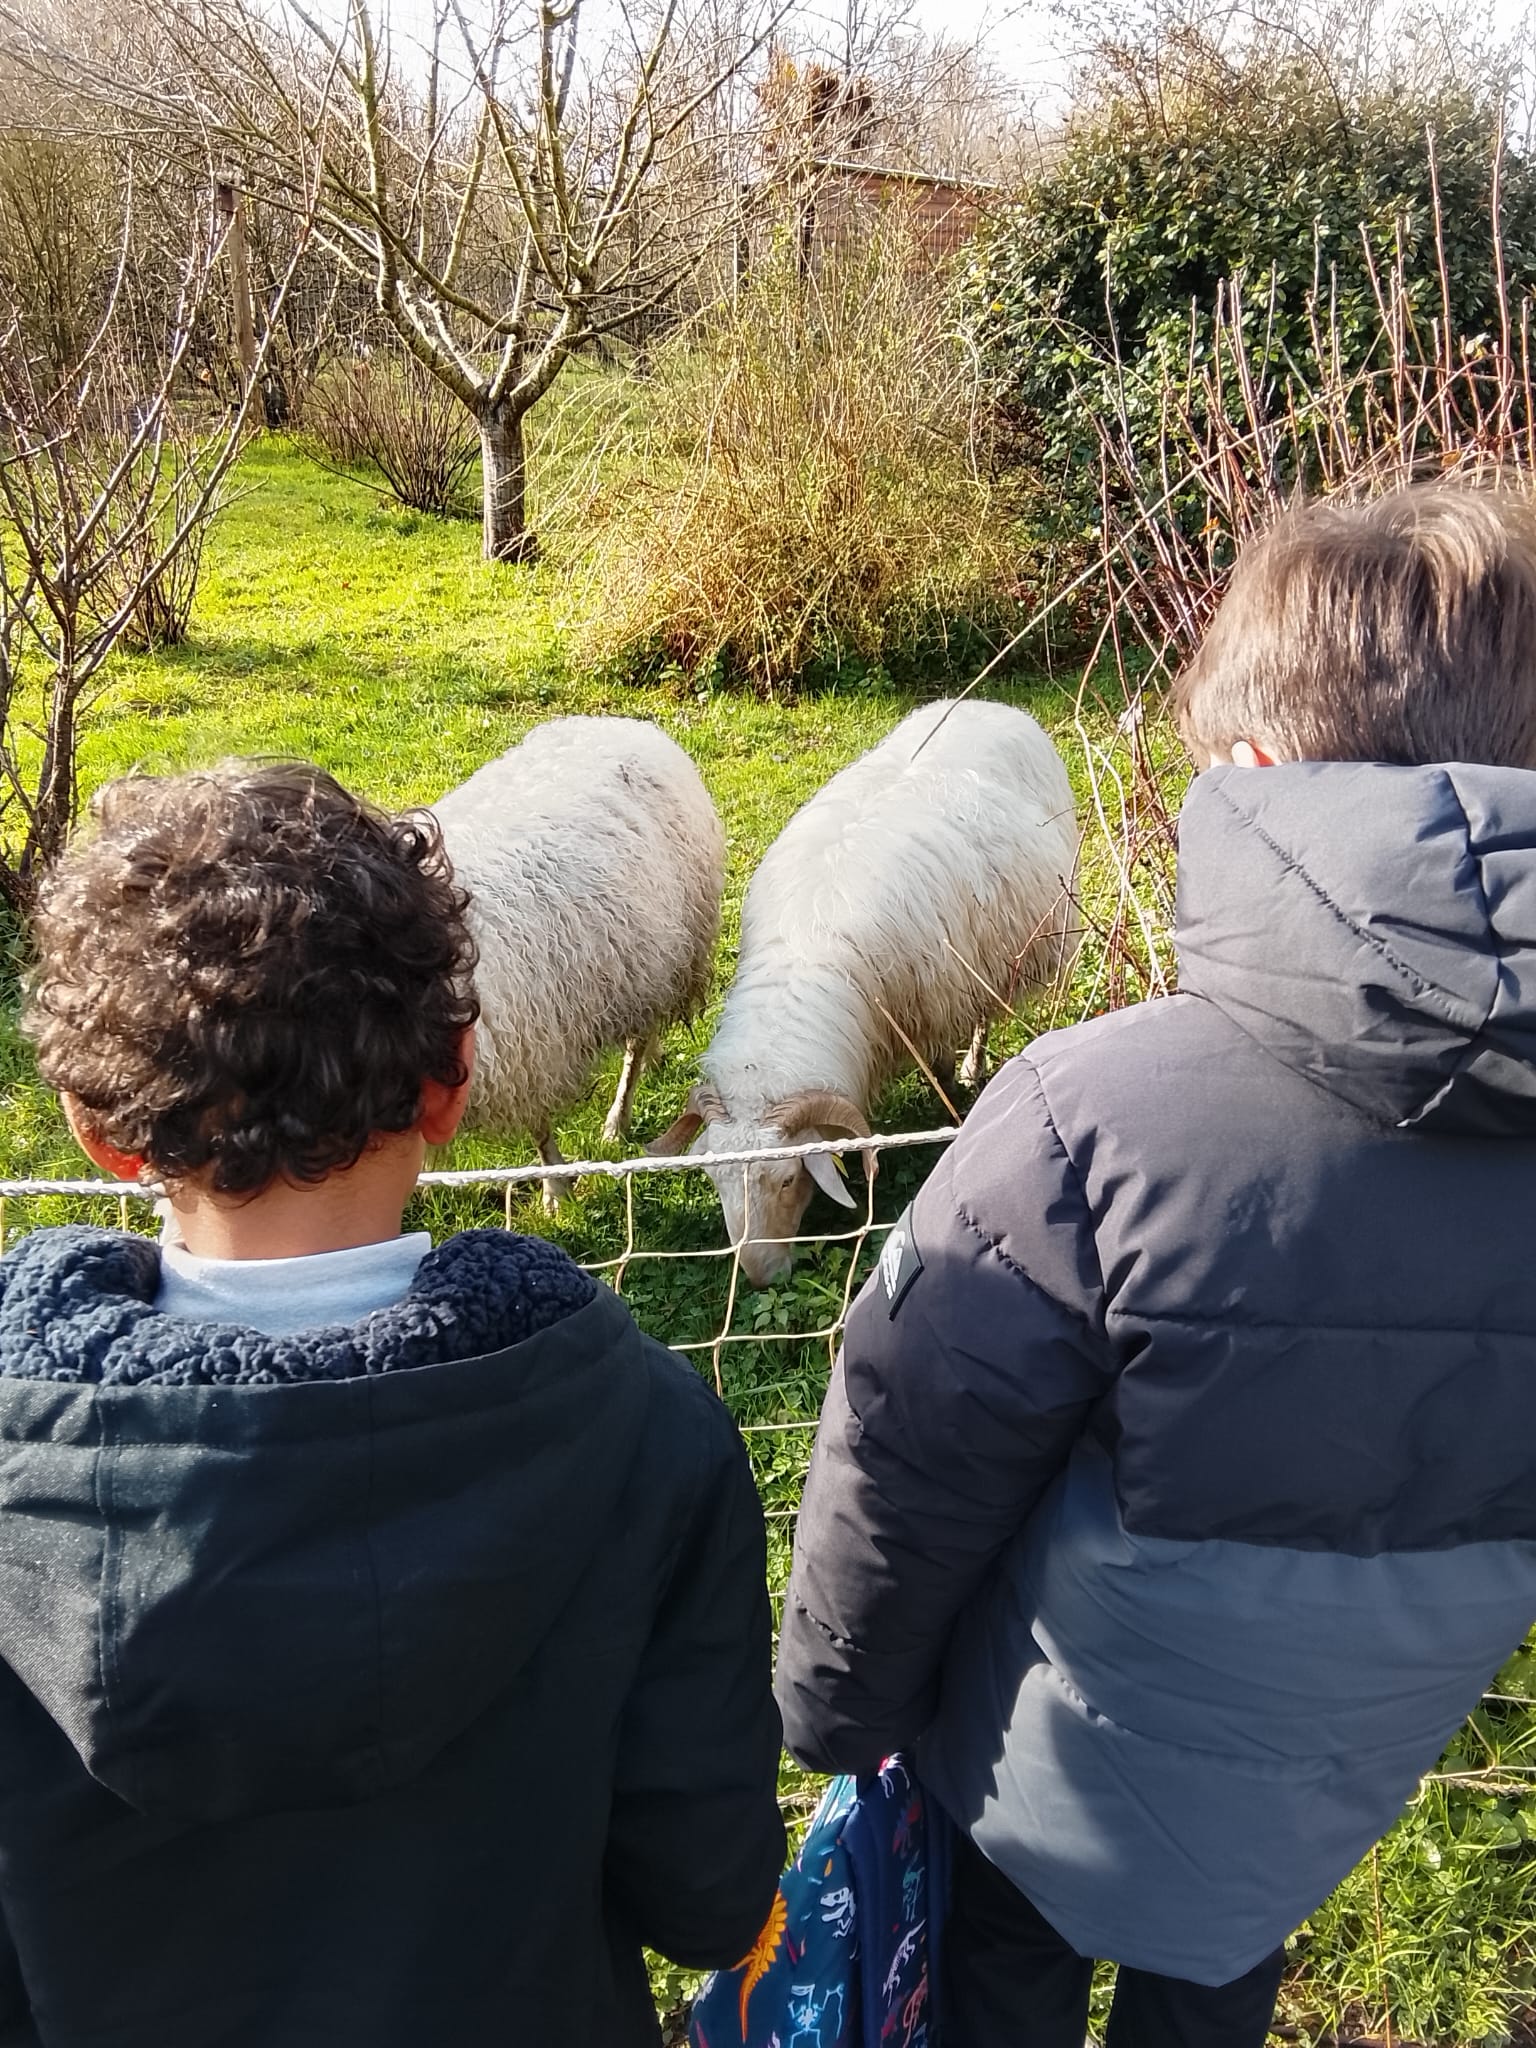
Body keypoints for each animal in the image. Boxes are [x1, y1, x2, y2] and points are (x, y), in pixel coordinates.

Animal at [432, 716, 725, 1204]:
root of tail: (623, 724)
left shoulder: (529, 1044)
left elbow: (539, 1127)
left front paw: (556, 1190)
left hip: (664, 950)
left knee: (635, 1046)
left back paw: (616, 1122)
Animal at [649, 697, 1078, 1284]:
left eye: (787, 1179)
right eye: (716, 1183)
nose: (760, 1276)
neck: (799, 963)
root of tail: (989, 704)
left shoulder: (932, 1003)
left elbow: (940, 1068)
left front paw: (955, 1107)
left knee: (985, 1012)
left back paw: (976, 1064)